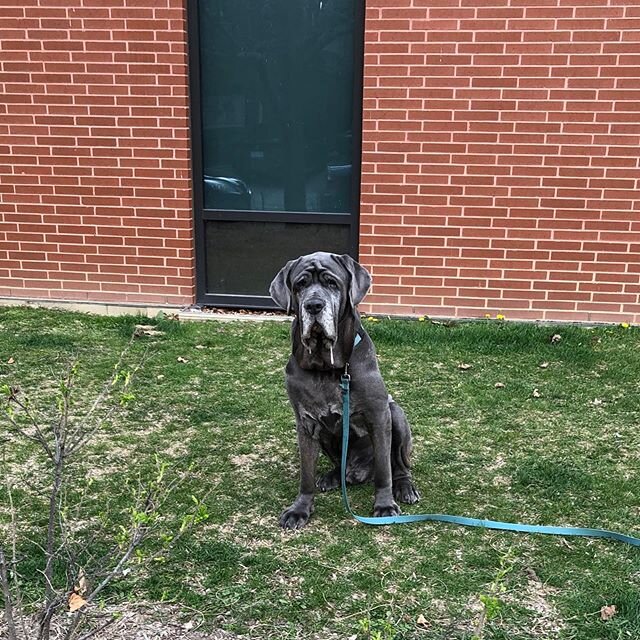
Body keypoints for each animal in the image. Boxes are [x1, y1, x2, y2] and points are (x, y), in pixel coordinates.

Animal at [268, 251, 420, 528]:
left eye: (332, 283)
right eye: (300, 285)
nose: (314, 305)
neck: (327, 367)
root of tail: (358, 471)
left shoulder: (379, 416)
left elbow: (384, 470)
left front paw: (384, 505)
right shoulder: (306, 422)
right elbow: (306, 475)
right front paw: (300, 509)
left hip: (397, 415)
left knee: (398, 466)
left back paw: (405, 488)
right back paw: (332, 476)